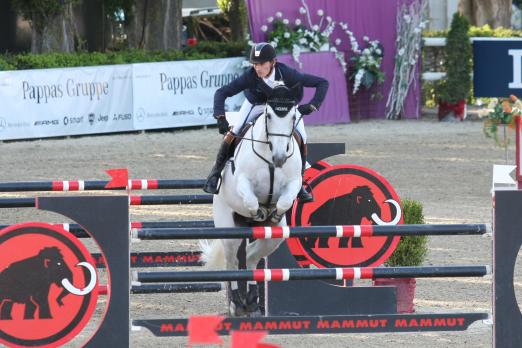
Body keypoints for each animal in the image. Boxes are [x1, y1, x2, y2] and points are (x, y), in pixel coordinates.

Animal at [202, 83, 302, 316]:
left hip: (273, 238)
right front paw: (260, 212)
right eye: (269, 115)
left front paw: (273, 213)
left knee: (250, 258)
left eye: (293, 116)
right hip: (229, 231)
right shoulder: (243, 183)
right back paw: (237, 304)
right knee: (232, 262)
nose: (279, 158)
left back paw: (252, 302)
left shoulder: (294, 182)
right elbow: (251, 201)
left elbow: (285, 201)